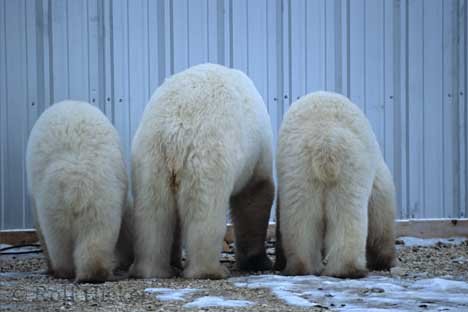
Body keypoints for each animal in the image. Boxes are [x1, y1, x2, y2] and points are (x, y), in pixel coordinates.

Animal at [27, 100, 130, 282]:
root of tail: (78, 183)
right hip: (104, 195)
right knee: (99, 232)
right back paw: (94, 274)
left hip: (53, 198)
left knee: (58, 239)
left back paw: (64, 271)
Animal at [130, 62, 274, 280]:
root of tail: (174, 129)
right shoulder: (256, 155)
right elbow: (254, 197)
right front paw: (258, 260)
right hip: (207, 154)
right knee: (205, 211)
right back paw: (210, 270)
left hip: (150, 156)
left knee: (152, 210)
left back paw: (151, 269)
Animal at [276, 91, 396, 278]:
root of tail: (325, 142)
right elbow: (380, 217)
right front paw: (383, 260)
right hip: (350, 168)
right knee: (348, 215)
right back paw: (347, 269)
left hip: (298, 170)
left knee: (300, 216)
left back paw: (302, 266)